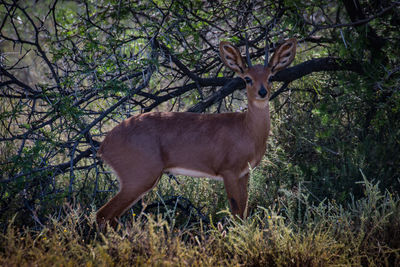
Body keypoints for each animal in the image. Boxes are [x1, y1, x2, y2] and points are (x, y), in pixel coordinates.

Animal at [97, 37, 296, 229]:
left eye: (270, 77)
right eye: (247, 78)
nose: (262, 92)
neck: (247, 130)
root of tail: (104, 144)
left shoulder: (244, 174)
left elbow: (243, 213)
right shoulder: (229, 173)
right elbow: (236, 214)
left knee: (109, 217)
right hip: (139, 180)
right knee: (103, 215)